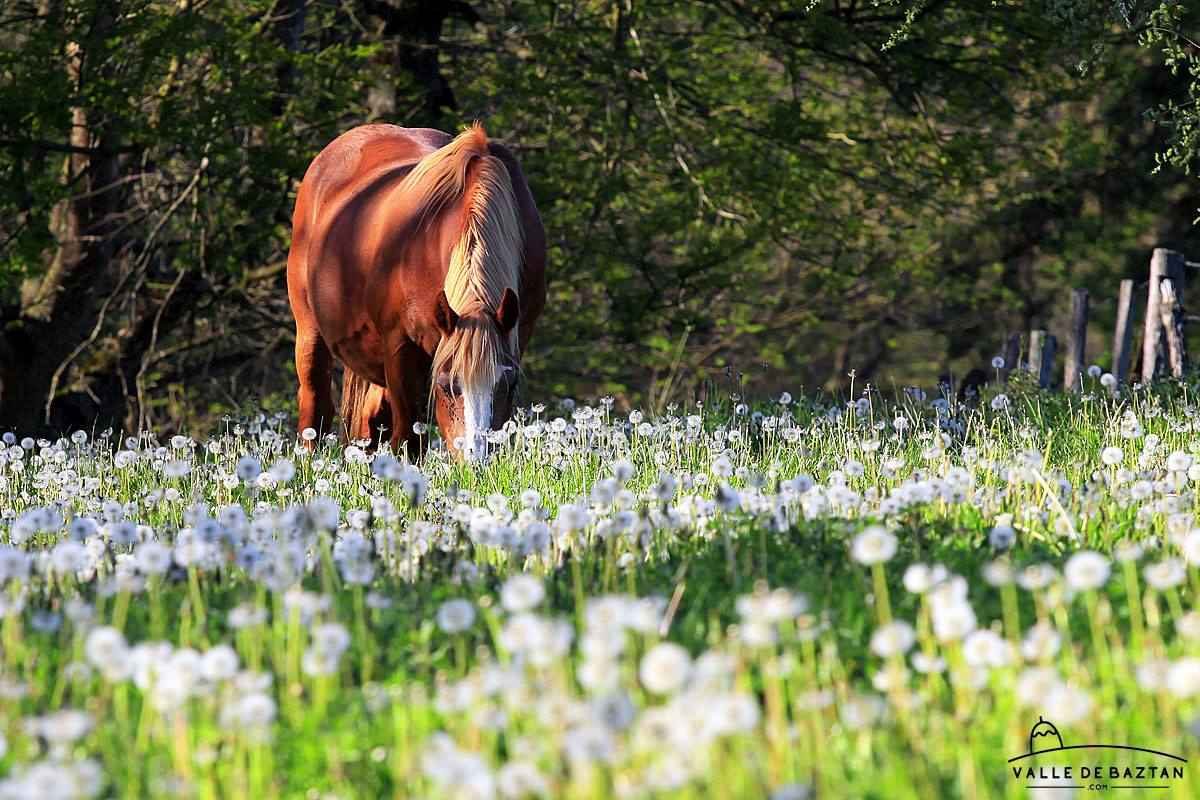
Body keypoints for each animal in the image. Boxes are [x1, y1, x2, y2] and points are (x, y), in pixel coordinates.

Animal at [286, 123, 546, 462]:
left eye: (509, 383)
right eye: (447, 385)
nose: (475, 461)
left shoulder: (518, 333)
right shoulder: (401, 348)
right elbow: (409, 440)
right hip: (311, 334)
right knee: (315, 410)